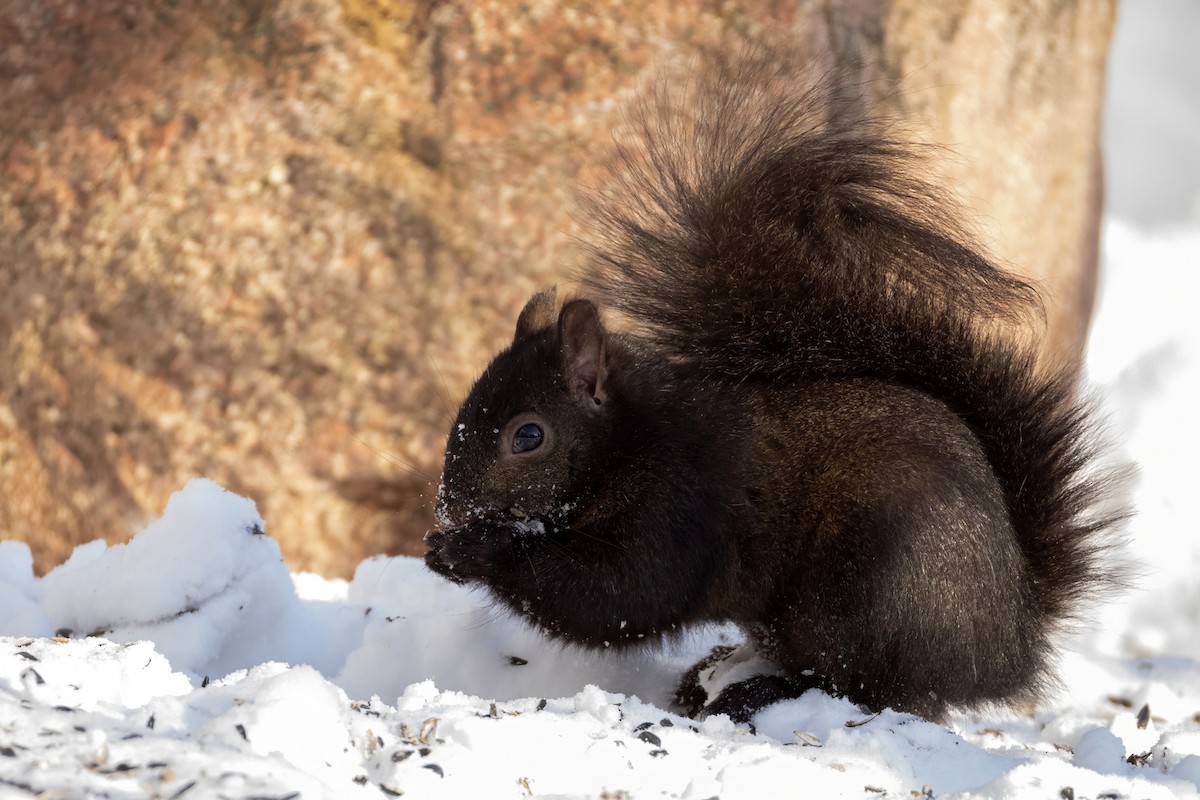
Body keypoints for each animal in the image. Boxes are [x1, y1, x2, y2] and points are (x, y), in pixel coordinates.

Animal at [423, 58, 1125, 723]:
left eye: (528, 436)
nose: (448, 512)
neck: (632, 440)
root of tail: (1005, 645)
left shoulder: (681, 506)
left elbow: (619, 595)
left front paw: (473, 549)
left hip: (872, 583)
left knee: (860, 686)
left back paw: (757, 693)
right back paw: (713, 673)